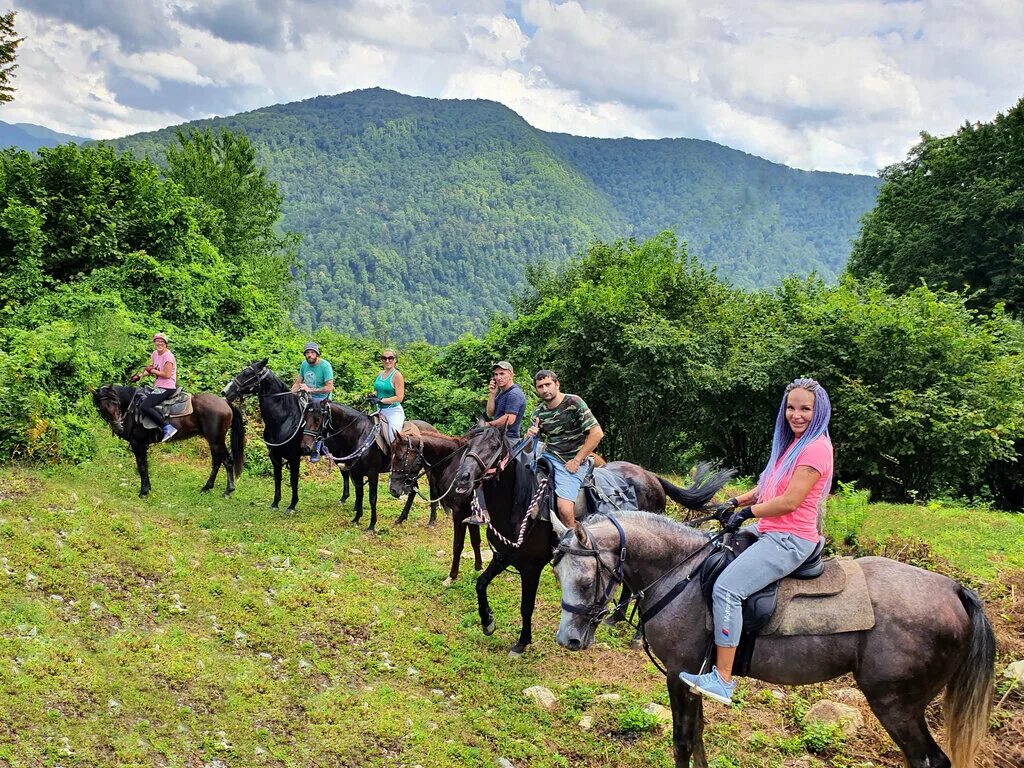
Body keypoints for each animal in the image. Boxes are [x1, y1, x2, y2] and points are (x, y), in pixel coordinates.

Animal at [91, 385, 243, 499]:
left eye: (116, 402)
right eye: (100, 407)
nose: (118, 427)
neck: (132, 408)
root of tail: (225, 402)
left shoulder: (137, 443)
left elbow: (141, 467)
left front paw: (143, 492)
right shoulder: (142, 445)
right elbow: (145, 465)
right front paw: (148, 489)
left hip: (216, 440)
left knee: (228, 461)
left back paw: (228, 491)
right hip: (212, 441)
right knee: (217, 462)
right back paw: (206, 487)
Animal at [299, 399, 438, 532]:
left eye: (317, 419)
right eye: (305, 417)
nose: (305, 447)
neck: (360, 435)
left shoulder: (372, 474)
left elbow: (372, 498)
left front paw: (372, 525)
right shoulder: (356, 473)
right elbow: (359, 494)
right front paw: (356, 518)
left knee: (432, 490)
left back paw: (431, 520)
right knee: (413, 490)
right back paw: (401, 518)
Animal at [387, 430, 483, 585]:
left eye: (401, 458)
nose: (393, 490)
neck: (453, 463)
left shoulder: (460, 513)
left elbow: (458, 545)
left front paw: (452, 576)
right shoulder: (470, 512)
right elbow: (475, 540)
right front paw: (478, 568)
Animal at [452, 423, 733, 659]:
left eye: (493, 447)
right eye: (468, 443)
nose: (462, 478)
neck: (522, 503)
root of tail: (651, 476)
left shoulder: (531, 567)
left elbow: (526, 606)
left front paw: (521, 643)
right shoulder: (504, 555)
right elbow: (480, 583)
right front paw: (488, 622)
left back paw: (636, 636)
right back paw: (615, 618)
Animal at [552, 512, 991, 768]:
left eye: (586, 580)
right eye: (556, 574)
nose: (568, 639)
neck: (682, 575)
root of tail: (954, 589)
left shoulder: (679, 674)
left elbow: (682, 740)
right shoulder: (694, 678)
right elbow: (698, 736)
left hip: (896, 705)